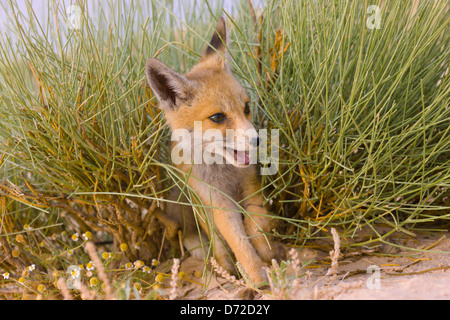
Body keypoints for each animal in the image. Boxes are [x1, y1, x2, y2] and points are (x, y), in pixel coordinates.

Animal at [146, 16, 284, 284]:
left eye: (247, 108)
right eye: (217, 117)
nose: (258, 141)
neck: (223, 172)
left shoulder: (250, 184)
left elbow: (255, 224)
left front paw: (268, 255)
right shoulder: (217, 201)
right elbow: (237, 242)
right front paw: (257, 278)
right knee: (216, 246)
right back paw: (227, 271)